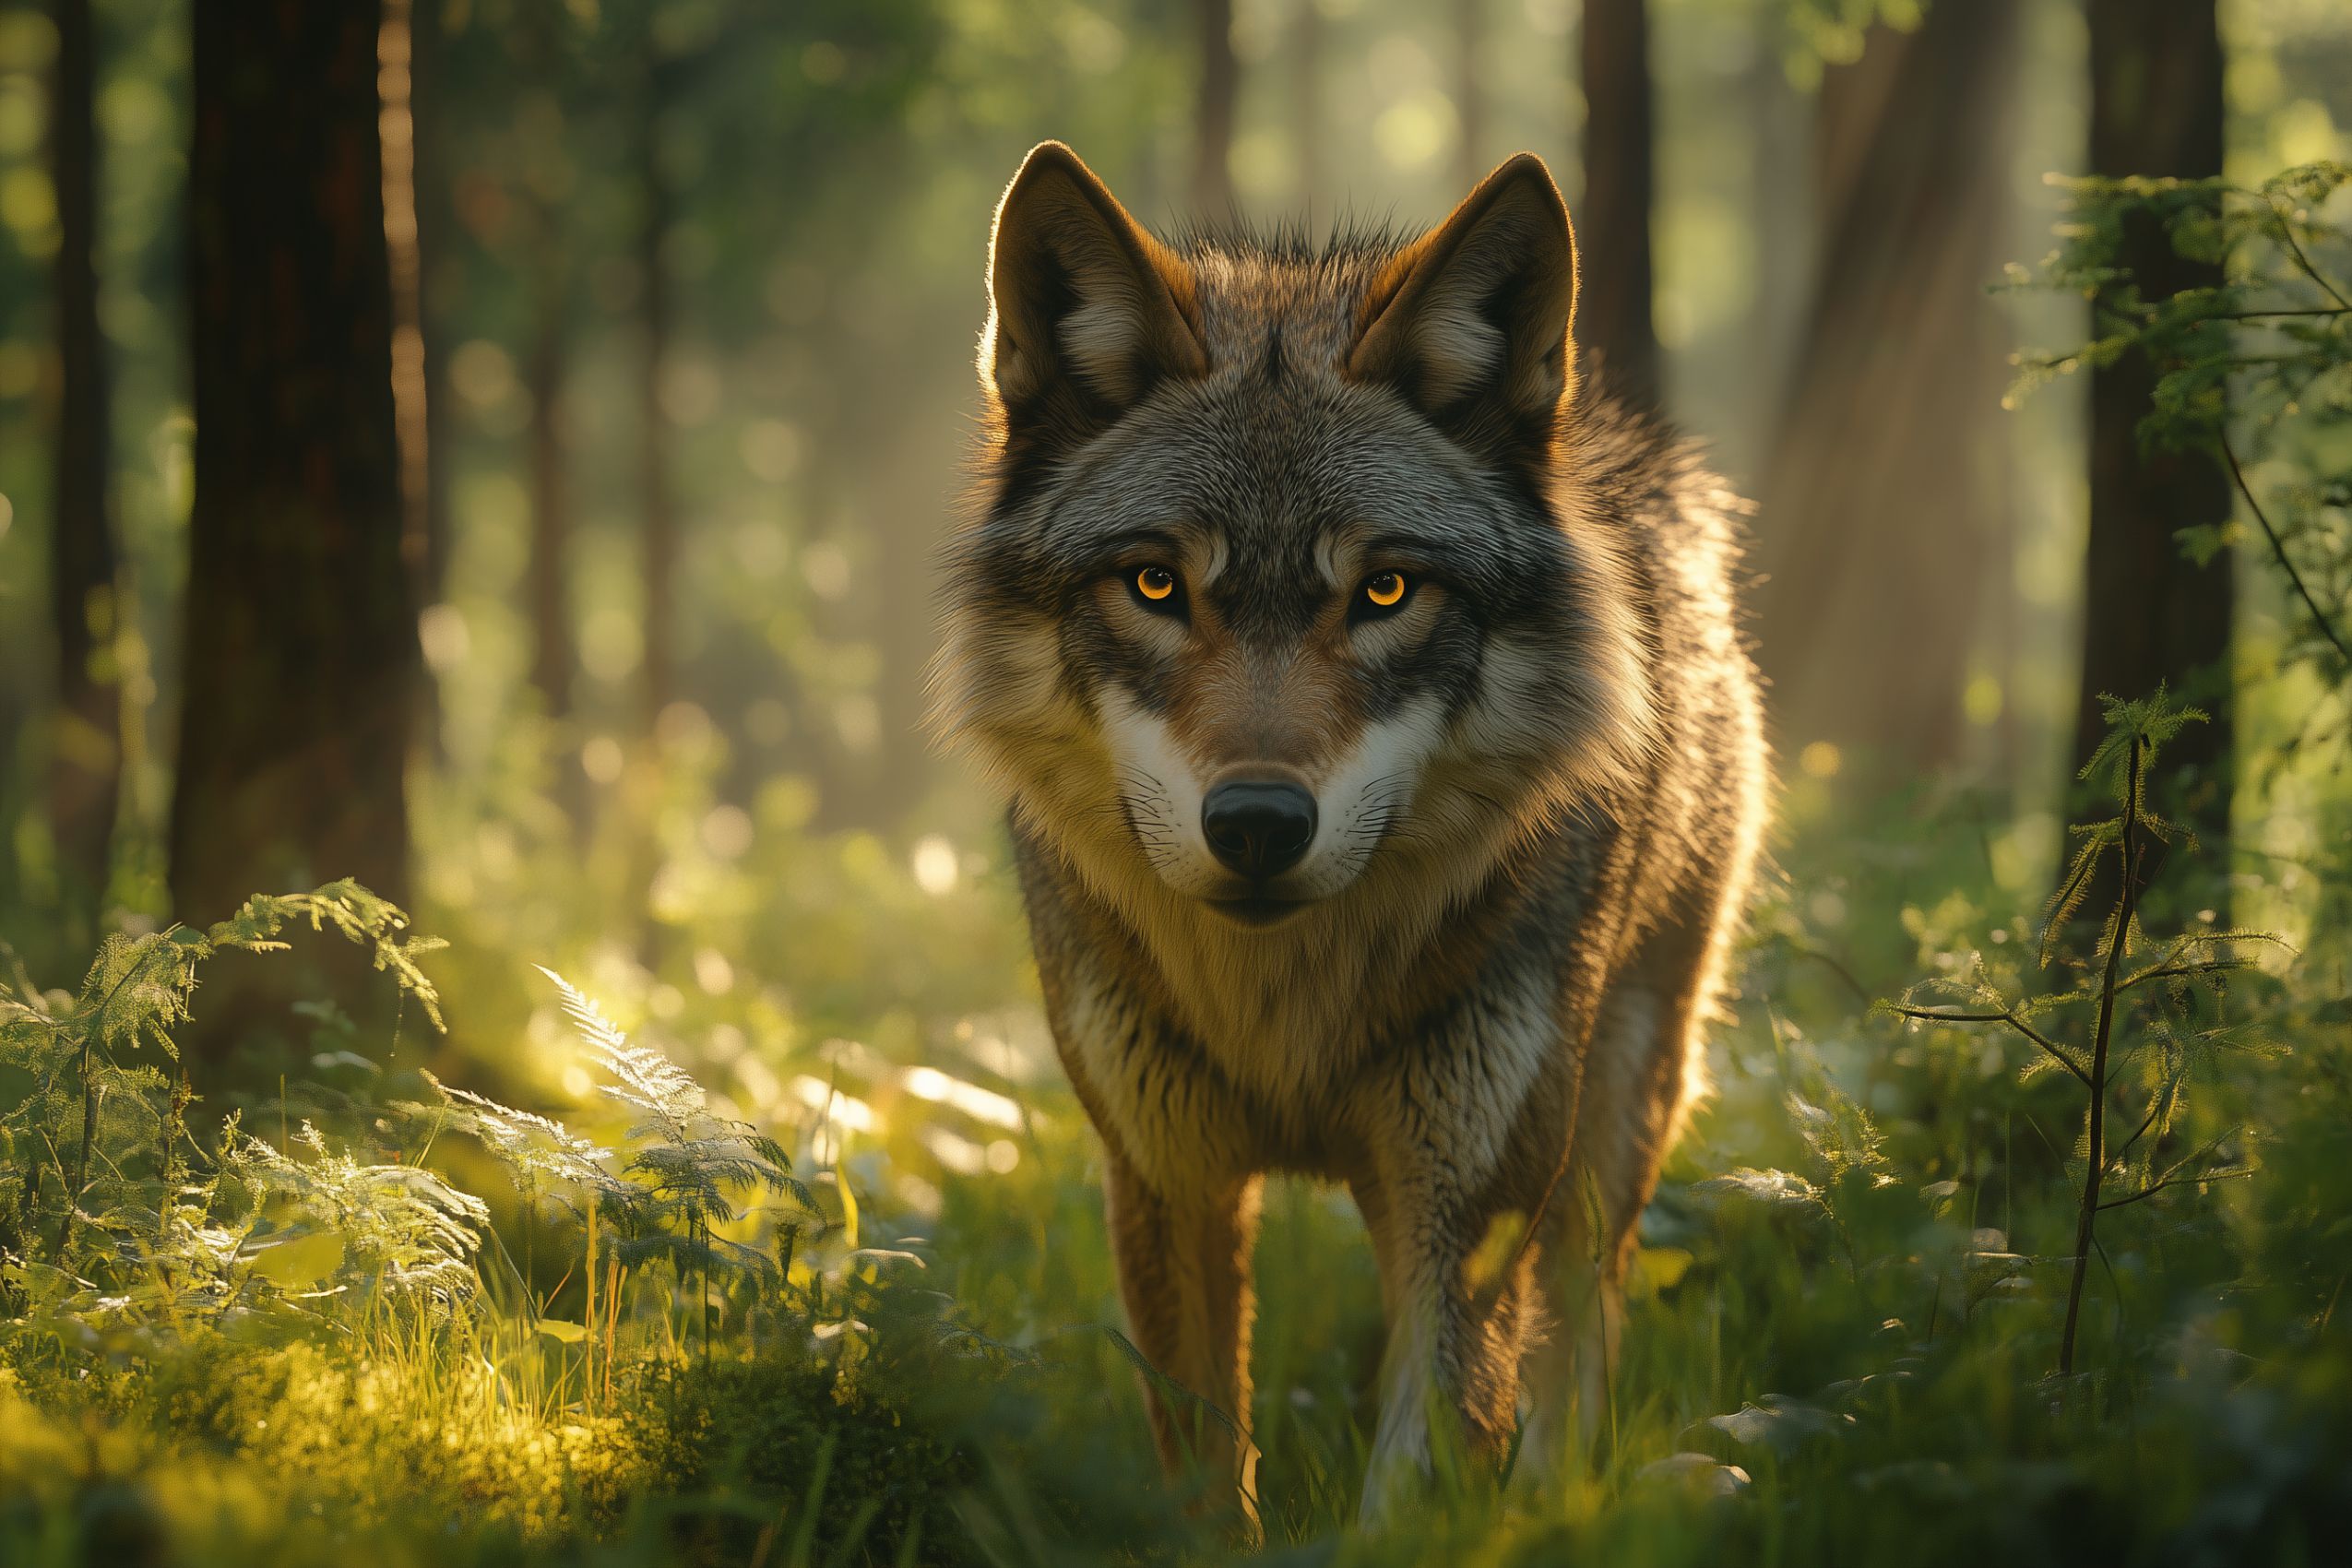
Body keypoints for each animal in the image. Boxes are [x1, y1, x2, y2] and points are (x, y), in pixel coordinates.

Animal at [934, 142, 1767, 1528]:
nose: (1259, 822)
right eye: (1155, 583)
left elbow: (1425, 1468)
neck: (1287, 1019)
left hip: (1613, 1115)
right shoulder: (1163, 1177)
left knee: (1578, 1330)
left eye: (1384, 589)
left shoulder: (1461, 1210)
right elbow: (1206, 1481)